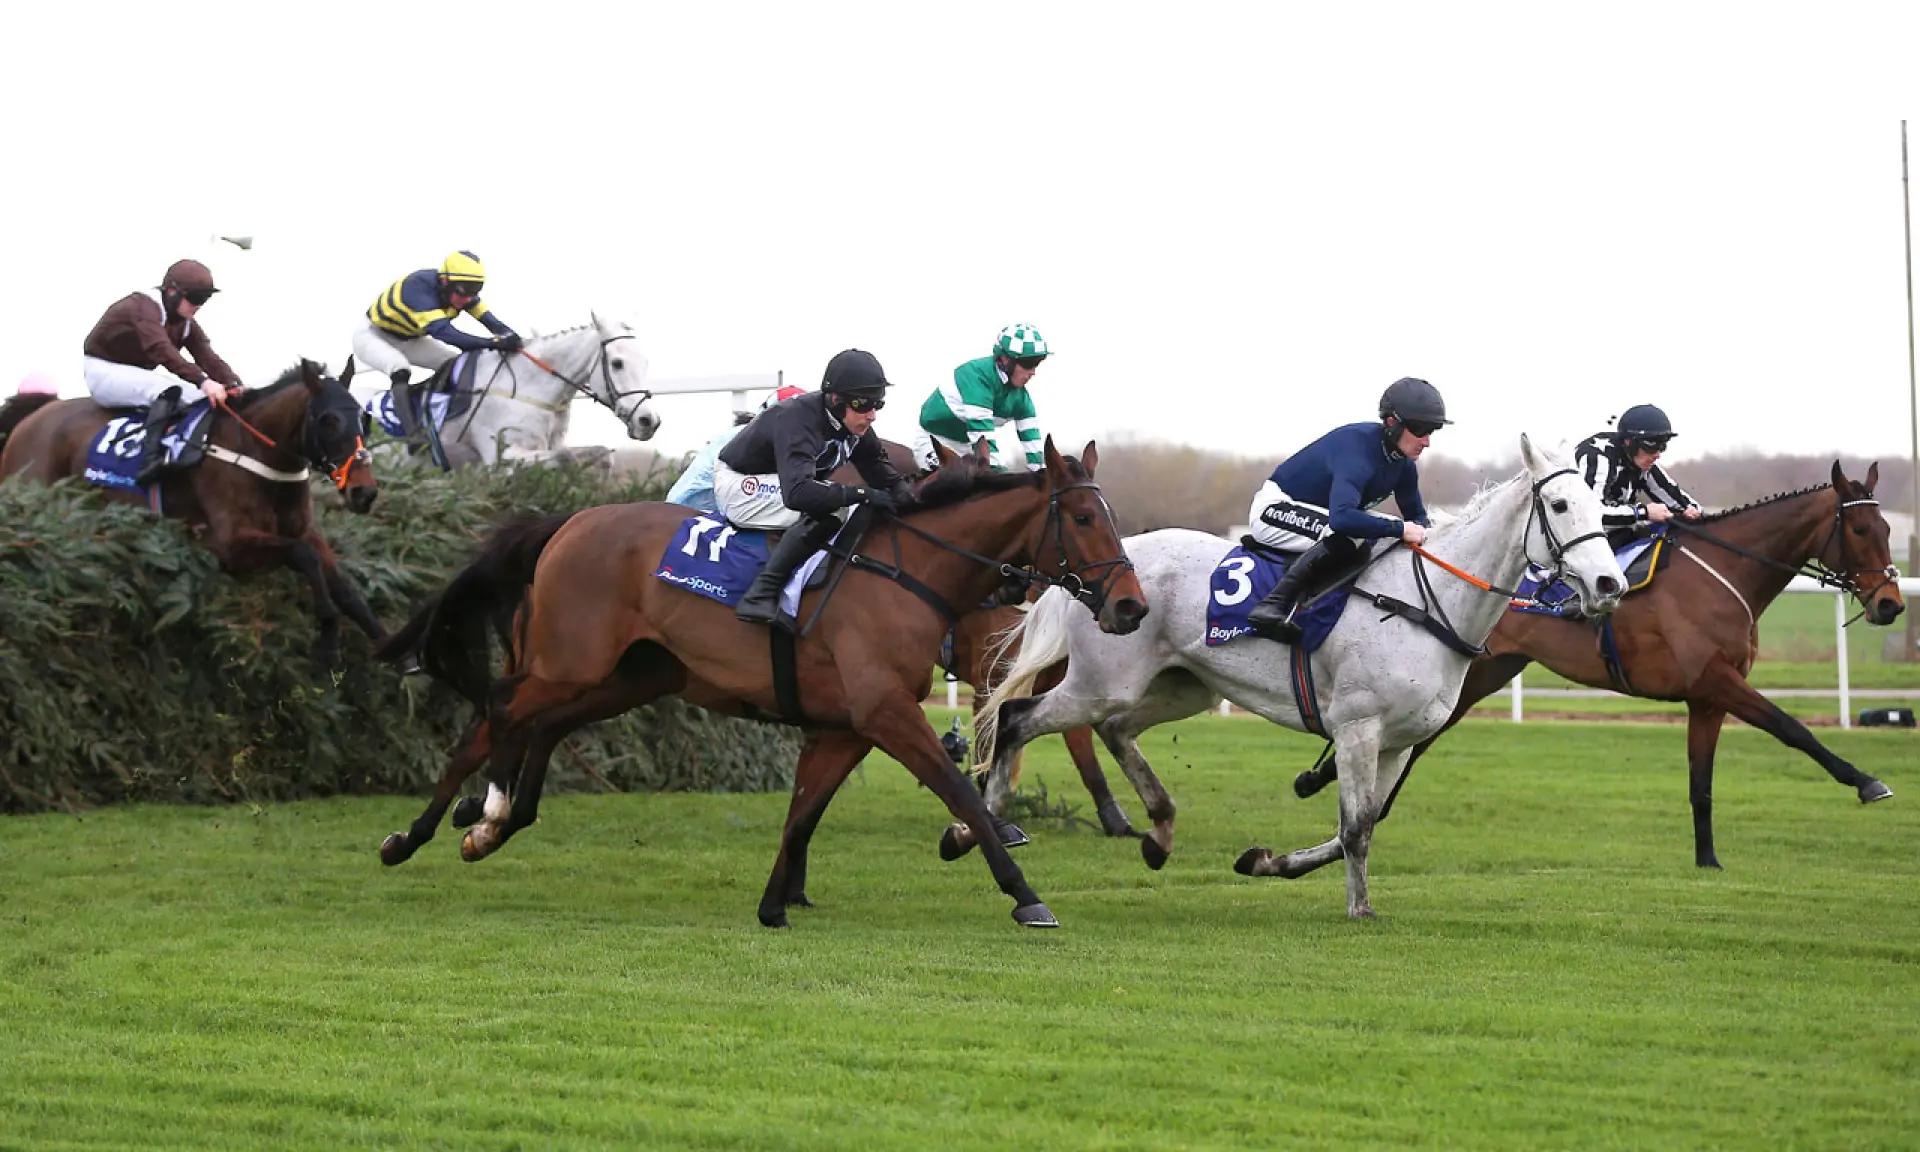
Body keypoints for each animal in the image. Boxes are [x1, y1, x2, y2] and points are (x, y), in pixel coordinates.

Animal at [0, 364, 385, 660]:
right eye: (329, 420)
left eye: (364, 418)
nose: (364, 492)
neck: (258, 456)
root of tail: (32, 417)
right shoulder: (228, 547)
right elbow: (305, 556)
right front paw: (329, 633)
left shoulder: (303, 528)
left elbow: (343, 584)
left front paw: (388, 642)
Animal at [364, 311, 660, 468]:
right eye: (617, 363)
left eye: (646, 362)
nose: (649, 421)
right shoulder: (504, 457)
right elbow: (566, 458)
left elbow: (601, 454)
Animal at [380, 435, 1144, 933]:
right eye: (1083, 518)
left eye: (1110, 517)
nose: (1130, 606)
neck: (909, 573)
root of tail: (568, 522)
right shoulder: (888, 712)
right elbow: (960, 790)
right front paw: (1022, 892)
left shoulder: (846, 724)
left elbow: (804, 811)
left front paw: (776, 902)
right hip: (569, 662)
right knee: (497, 712)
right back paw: (437, 828)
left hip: (625, 675)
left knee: (538, 723)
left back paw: (494, 823)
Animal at [967, 432, 1628, 917]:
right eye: (1560, 506)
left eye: (1602, 509)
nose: (1609, 584)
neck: (1428, 602)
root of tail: (1101, 571)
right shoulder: (1358, 728)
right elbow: (1356, 827)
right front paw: (1360, 909)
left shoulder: (1396, 743)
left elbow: (1360, 824)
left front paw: (1266, 862)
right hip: (1104, 682)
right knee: (1018, 717)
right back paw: (980, 827)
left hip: (1183, 687)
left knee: (1115, 729)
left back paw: (1158, 834)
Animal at [1290, 458, 1904, 864]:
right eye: (1858, 528)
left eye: (1888, 529)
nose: (1891, 603)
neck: (1722, 572)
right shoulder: (1717, 680)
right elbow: (1793, 728)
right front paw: (1868, 781)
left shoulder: (1705, 699)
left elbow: (1701, 784)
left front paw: (1707, 861)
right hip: (1469, 679)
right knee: (1409, 746)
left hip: (1486, 673)